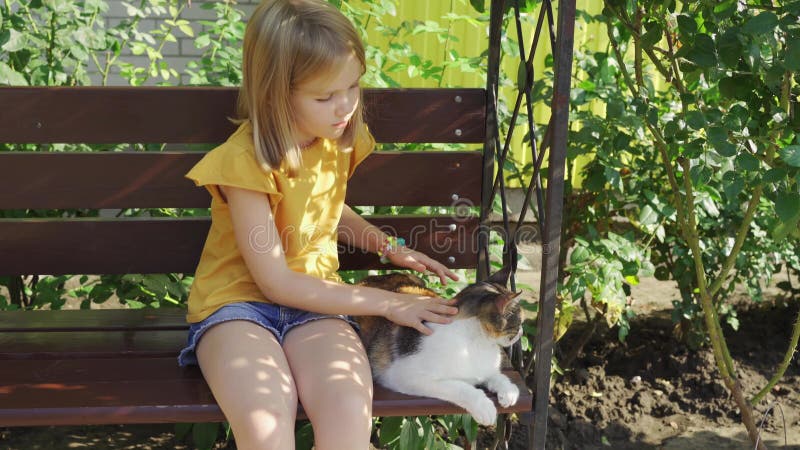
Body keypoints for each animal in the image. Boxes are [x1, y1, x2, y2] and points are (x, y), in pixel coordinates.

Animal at [358, 268, 524, 426]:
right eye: (519, 323)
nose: (522, 331)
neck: (477, 343)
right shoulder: (404, 376)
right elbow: (461, 387)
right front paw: (484, 407)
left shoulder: (485, 369)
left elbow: (498, 376)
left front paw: (509, 391)